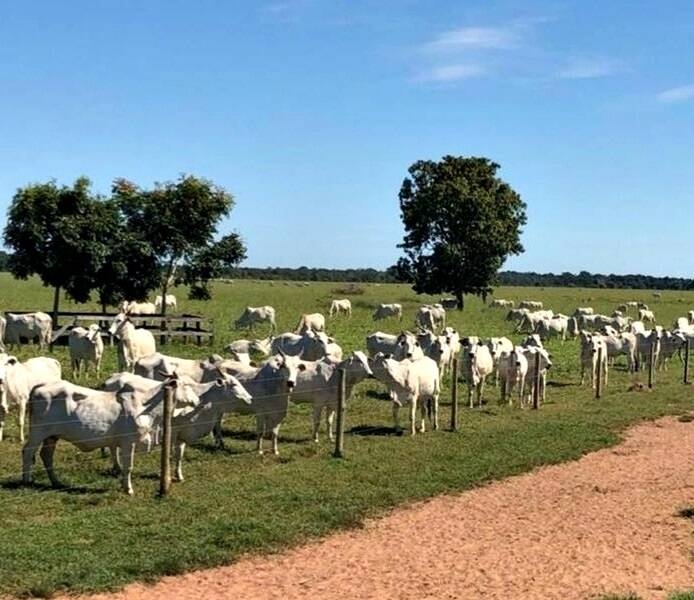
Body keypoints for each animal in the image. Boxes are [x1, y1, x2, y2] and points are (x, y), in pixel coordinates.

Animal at [23, 378, 198, 494]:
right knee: (27, 451)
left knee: (46, 456)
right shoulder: (128, 442)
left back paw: (56, 481)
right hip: (38, 432)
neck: (146, 407)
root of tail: (41, 385)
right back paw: (27, 480)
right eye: (187, 385)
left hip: (52, 436)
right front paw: (128, 489)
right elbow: (128, 467)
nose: (197, 400)